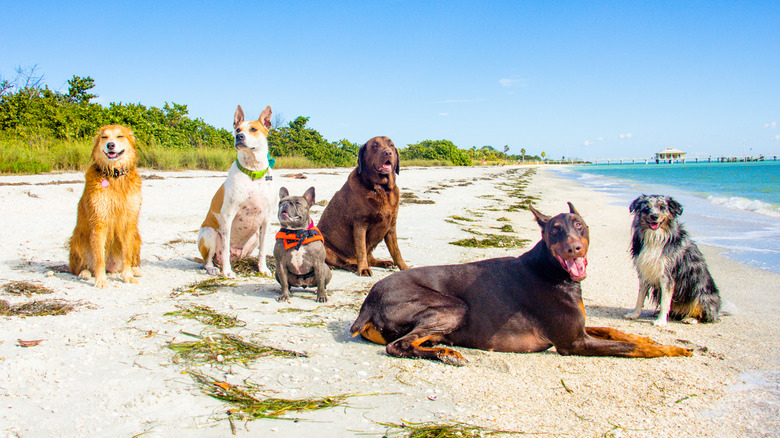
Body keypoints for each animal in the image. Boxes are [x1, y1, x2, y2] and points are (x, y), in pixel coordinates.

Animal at [198, 105, 274, 278]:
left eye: (253, 129)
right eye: (237, 129)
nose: (239, 136)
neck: (253, 172)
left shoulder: (266, 219)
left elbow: (263, 250)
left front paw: (263, 268)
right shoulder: (228, 216)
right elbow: (225, 248)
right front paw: (227, 272)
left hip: (254, 236)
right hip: (209, 233)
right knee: (208, 260)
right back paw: (215, 268)